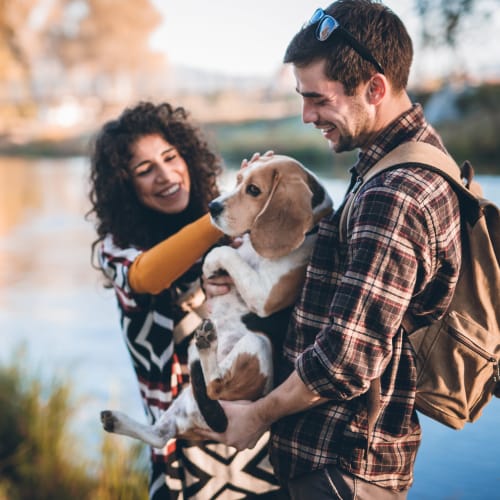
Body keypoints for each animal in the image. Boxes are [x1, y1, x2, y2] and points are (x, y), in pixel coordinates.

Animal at [99, 154, 334, 448]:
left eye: (253, 190)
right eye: (238, 180)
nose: (212, 207)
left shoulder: (265, 294)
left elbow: (222, 252)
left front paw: (210, 266)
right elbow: (228, 253)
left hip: (256, 344)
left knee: (214, 386)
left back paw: (207, 345)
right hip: (183, 400)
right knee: (160, 436)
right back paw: (115, 420)